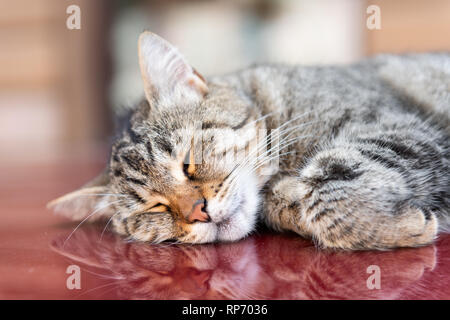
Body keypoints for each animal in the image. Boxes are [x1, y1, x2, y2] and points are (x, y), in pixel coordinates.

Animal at [47, 31, 448, 250]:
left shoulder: (398, 127)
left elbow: (325, 196)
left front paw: (395, 227)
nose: (199, 212)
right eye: (154, 208)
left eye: (187, 164)